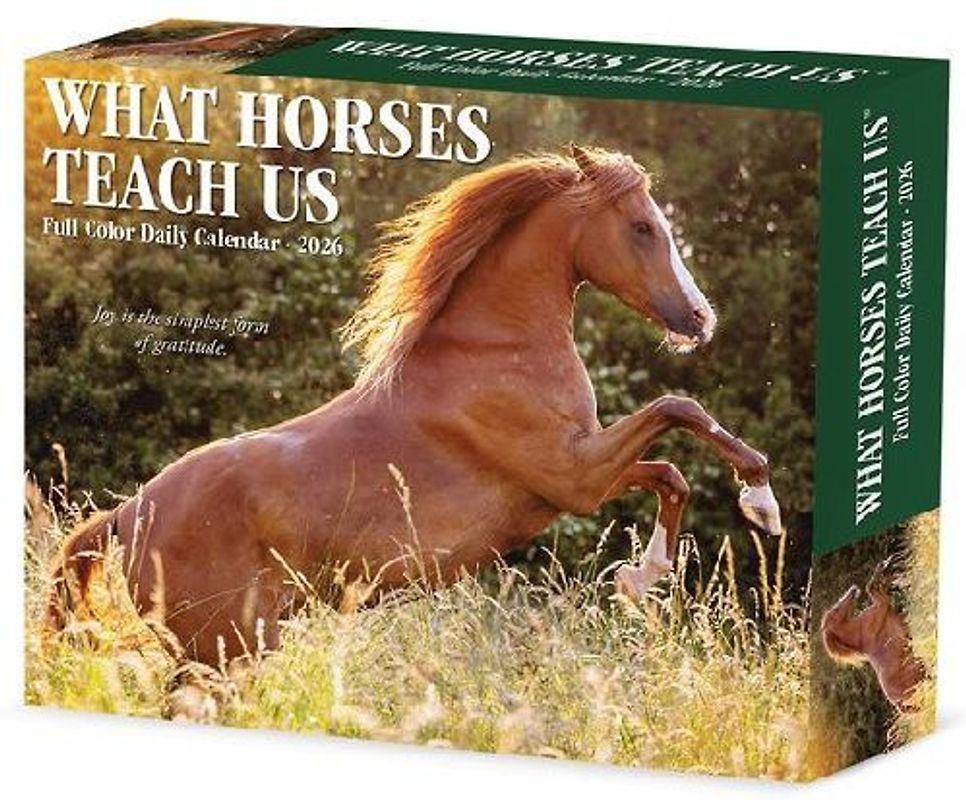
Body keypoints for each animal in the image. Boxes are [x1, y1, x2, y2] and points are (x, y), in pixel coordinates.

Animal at [47, 144, 782, 666]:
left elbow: (670, 470)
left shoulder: (578, 473)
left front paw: (639, 577)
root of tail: (125, 515)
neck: (495, 348)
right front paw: (759, 505)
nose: (700, 320)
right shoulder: (575, 478)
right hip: (228, 648)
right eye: (642, 227)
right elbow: (679, 411)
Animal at [821, 559, 926, 713]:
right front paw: (883, 567)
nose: (853, 589)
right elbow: (871, 588)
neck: (858, 632)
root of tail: (897, 704)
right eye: (836, 609)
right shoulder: (881, 608)